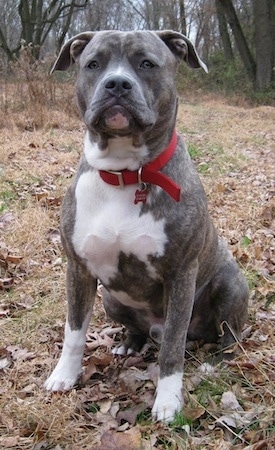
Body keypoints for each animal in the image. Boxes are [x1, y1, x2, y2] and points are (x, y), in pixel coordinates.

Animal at [45, 29, 250, 424]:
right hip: (111, 298)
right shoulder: (78, 269)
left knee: (226, 335)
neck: (125, 174)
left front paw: (168, 401)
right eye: (93, 64)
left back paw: (214, 360)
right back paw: (130, 344)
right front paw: (64, 375)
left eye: (147, 64)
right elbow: (74, 330)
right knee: (137, 326)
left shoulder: (180, 275)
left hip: (229, 286)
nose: (117, 84)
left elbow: (172, 347)